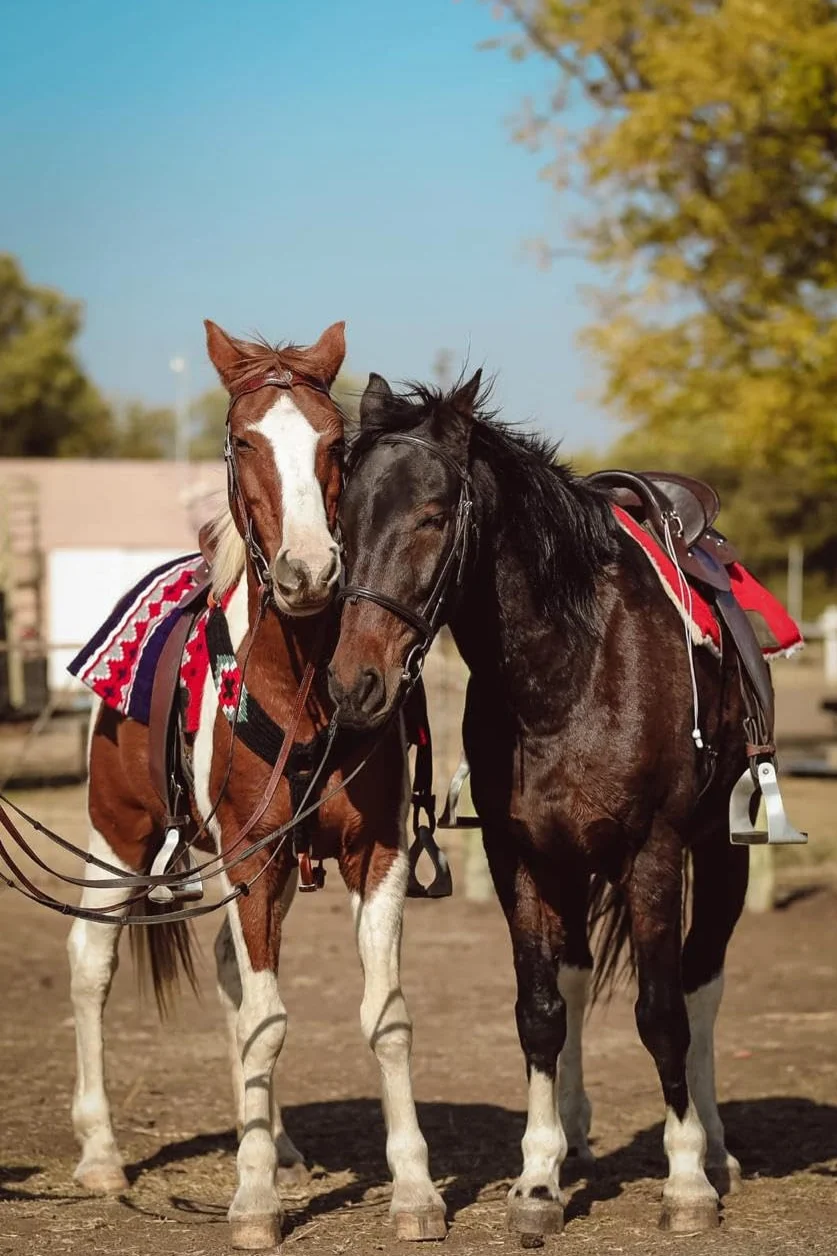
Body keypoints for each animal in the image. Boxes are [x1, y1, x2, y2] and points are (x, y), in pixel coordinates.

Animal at [66, 323, 445, 1250]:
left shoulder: (375, 854)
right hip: (117, 835)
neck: (300, 683)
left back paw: (273, 1142)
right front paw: (251, 1202)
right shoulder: (250, 859)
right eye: (242, 442)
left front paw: (413, 1190)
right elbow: (269, 1024)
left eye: (336, 444)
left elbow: (384, 1016)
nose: (309, 572)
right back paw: (102, 1155)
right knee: (93, 963)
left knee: (232, 977)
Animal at [326, 371, 753, 1238]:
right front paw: (536, 1179)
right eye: (344, 519)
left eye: (431, 514)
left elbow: (662, 1012)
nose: (354, 685)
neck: (570, 668)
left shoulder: (652, 852)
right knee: (581, 977)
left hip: (720, 854)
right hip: (572, 864)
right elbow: (540, 1011)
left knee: (701, 984)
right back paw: (579, 1134)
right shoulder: (517, 855)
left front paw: (685, 1180)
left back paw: (716, 1148)